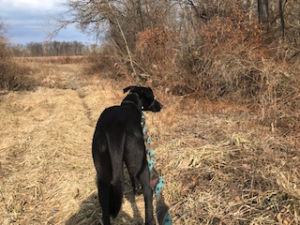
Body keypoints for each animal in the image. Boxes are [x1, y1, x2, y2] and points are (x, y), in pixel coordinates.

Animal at [92, 85, 163, 224]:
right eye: (153, 97)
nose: (161, 106)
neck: (131, 102)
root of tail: (115, 130)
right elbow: (134, 177)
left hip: (102, 175)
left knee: (105, 210)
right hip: (142, 162)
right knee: (148, 192)